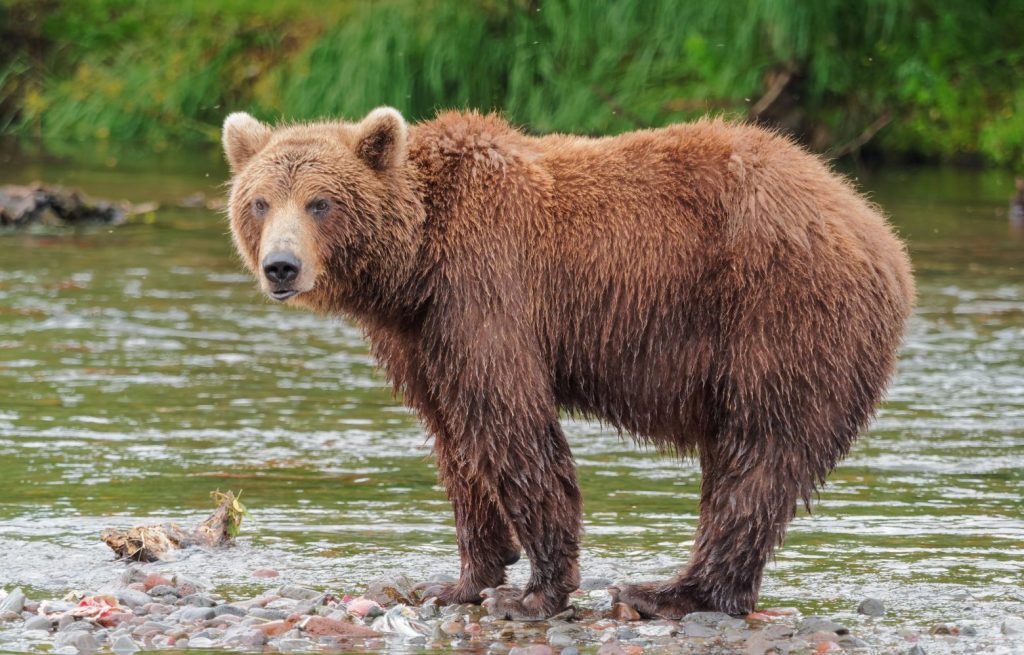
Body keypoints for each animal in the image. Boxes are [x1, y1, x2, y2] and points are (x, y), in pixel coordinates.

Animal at [222, 107, 913, 618]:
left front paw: (535, 592)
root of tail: (879, 230)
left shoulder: (485, 289)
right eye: (260, 201)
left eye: (320, 203)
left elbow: (511, 426)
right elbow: (454, 441)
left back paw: (670, 592)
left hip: (781, 317)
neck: (414, 266)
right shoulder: (421, 338)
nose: (281, 267)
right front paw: (460, 579)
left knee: (758, 456)